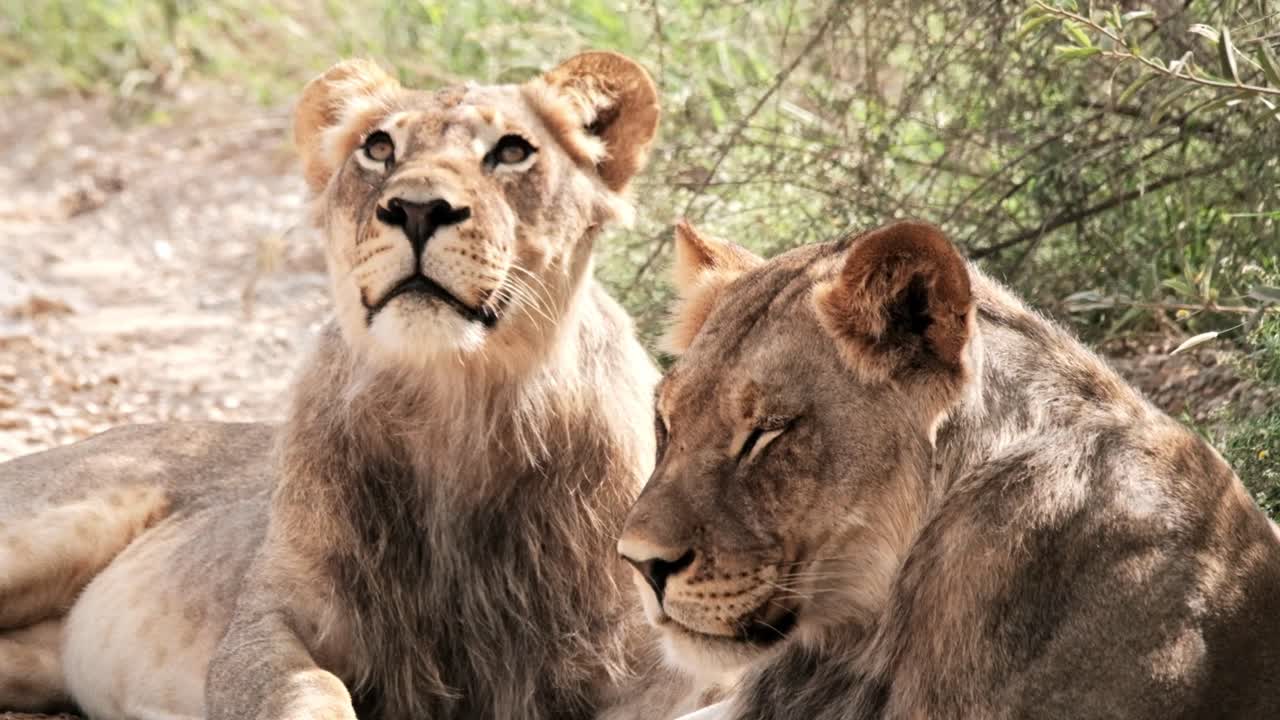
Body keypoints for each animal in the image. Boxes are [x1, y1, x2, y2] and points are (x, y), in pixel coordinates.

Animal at [0, 52, 675, 720]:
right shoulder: (269, 618)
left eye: (511, 151)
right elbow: (308, 690)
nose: (418, 210)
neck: (456, 406)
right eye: (379, 149)